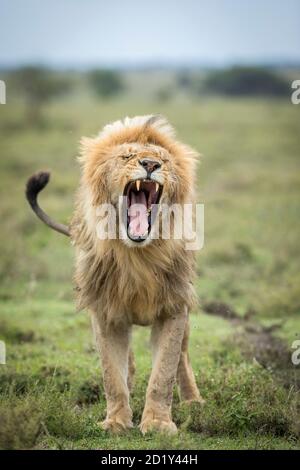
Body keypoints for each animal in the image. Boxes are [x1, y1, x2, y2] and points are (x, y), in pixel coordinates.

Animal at [25, 114, 204, 434]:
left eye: (163, 160)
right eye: (127, 157)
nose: (150, 165)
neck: (136, 256)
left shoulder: (174, 308)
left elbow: (163, 373)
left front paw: (158, 424)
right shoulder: (106, 314)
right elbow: (112, 375)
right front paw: (116, 421)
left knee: (182, 356)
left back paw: (193, 402)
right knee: (129, 362)